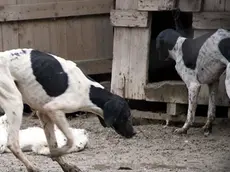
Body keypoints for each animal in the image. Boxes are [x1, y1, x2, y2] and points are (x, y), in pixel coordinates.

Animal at [0, 48, 136, 172]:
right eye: (127, 115)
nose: (134, 133)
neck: (89, 91)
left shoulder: (43, 113)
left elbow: (53, 144)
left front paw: (65, 164)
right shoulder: (53, 110)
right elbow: (70, 140)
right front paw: (55, 154)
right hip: (16, 102)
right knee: (13, 143)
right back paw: (32, 167)